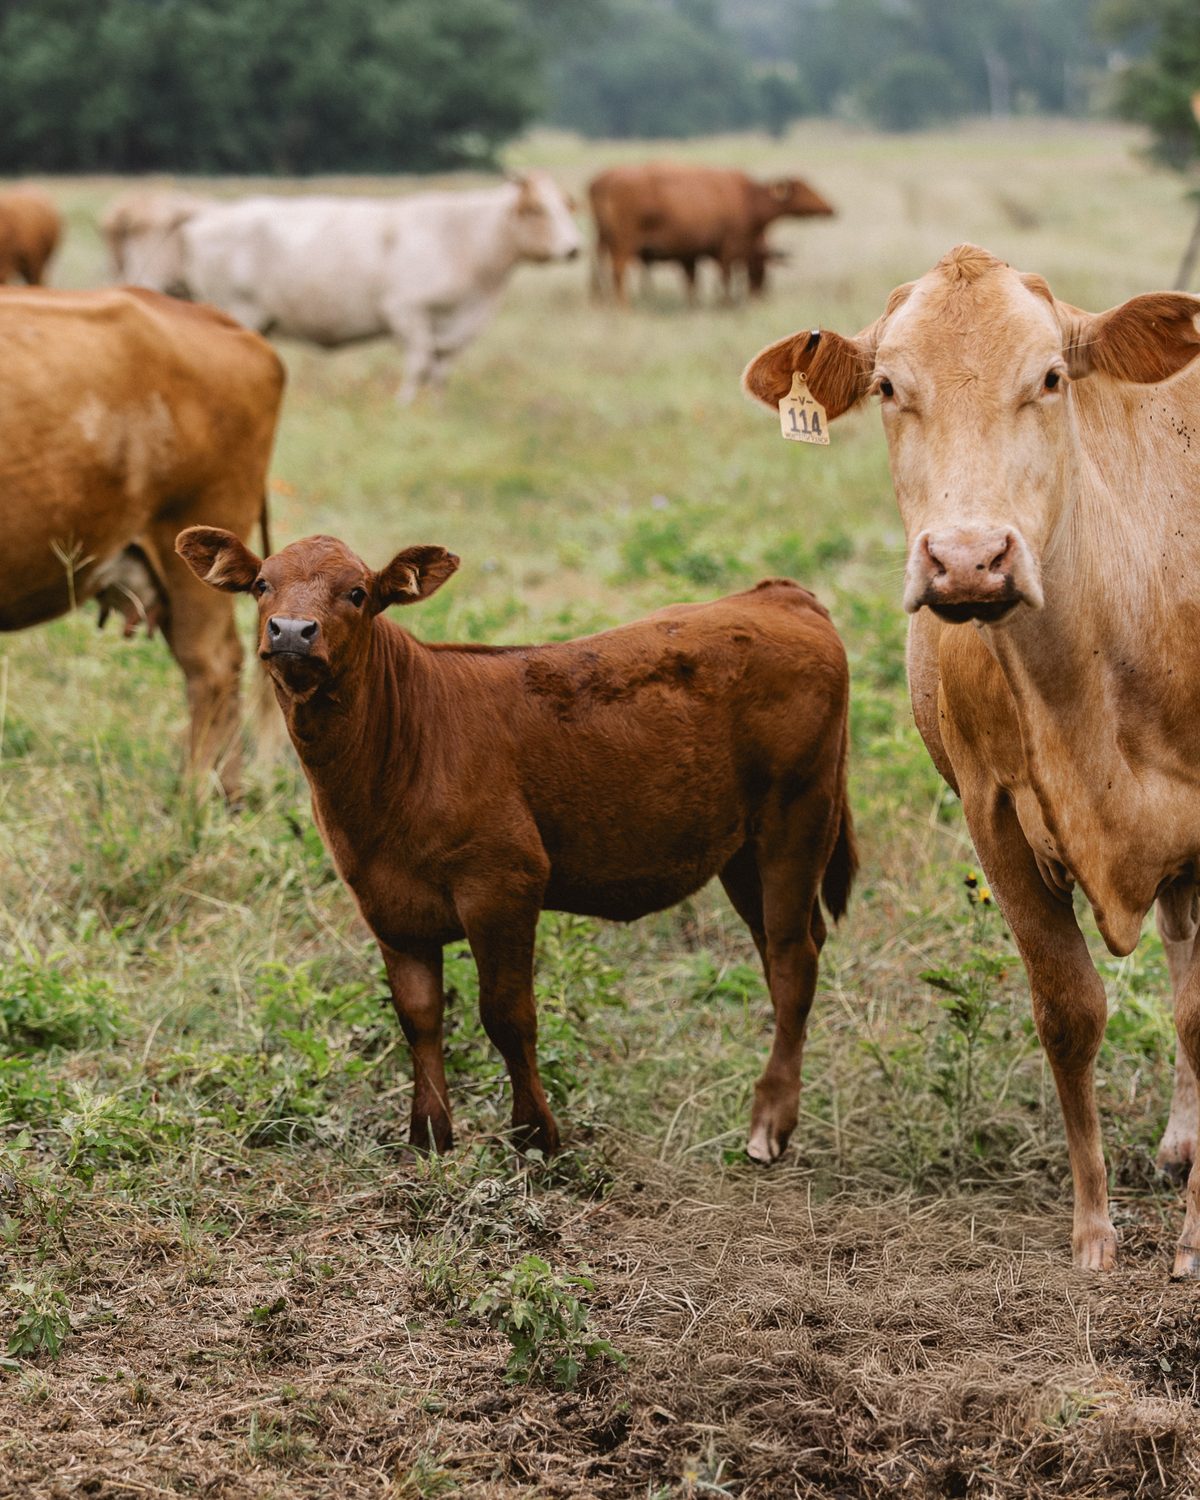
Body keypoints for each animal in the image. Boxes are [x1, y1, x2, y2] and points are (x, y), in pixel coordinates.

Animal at [168, 174, 581, 403]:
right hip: (235, 309)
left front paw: (437, 408)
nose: (573, 248)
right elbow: (420, 365)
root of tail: (206, 216)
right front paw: (404, 406)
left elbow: (440, 369)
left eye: (566, 206)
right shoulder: (407, 311)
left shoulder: (455, 326)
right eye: (538, 210)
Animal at [175, 527, 857, 1162]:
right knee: (779, 946)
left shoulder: (503, 882)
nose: (293, 631)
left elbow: (507, 1014)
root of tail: (777, 594)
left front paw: (536, 1136)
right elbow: (418, 1017)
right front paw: (429, 1137)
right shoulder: (384, 902)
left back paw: (768, 1125)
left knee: (794, 957)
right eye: (262, 584)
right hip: (740, 848)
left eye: (358, 593)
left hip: (798, 815)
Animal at [589, 164, 834, 307]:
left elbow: (694, 282)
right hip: (623, 245)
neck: (748, 198)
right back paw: (624, 307)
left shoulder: (692, 255)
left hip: (604, 241)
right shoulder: (728, 249)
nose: (830, 207)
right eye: (804, 189)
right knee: (618, 273)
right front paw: (725, 304)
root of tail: (603, 182)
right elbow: (725, 278)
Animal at [744, 242, 1200, 1277]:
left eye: (1051, 377)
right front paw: (1093, 1231)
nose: (967, 560)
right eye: (886, 386)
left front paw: (1195, 1244)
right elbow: (1070, 1010)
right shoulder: (994, 815)